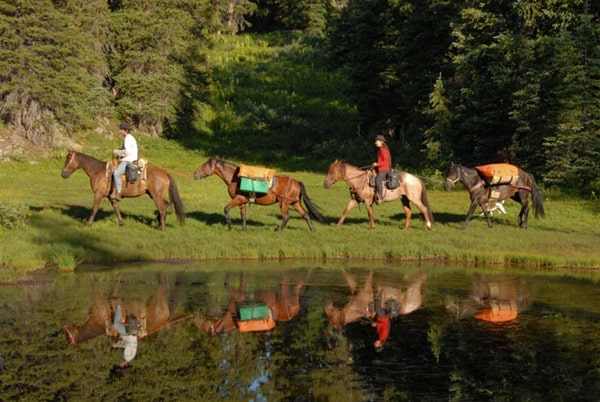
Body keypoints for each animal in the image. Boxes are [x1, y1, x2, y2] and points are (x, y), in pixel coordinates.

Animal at [193, 157, 326, 232]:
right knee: (306, 215)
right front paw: (244, 229)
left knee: (286, 216)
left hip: (284, 202)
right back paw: (312, 230)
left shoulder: (237, 199)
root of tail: (296, 182)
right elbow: (243, 215)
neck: (235, 178)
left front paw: (230, 226)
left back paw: (278, 230)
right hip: (295, 203)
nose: (195, 174)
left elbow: (226, 209)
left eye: (204, 165)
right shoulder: (242, 201)